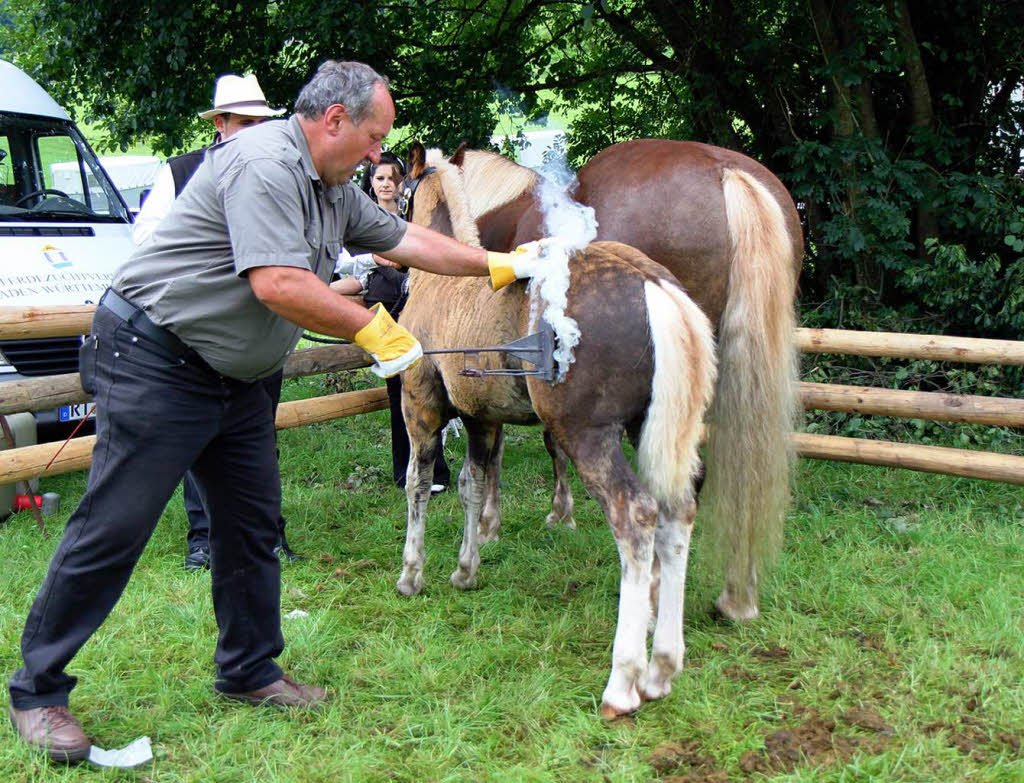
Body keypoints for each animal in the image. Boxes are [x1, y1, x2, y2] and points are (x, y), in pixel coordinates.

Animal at [395, 145, 716, 716]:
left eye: (398, 188)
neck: (443, 285)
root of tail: (654, 284)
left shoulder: (422, 402)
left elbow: (420, 484)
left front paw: (413, 574)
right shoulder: (481, 417)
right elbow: (473, 485)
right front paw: (466, 569)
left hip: (588, 435)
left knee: (635, 517)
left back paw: (624, 681)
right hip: (651, 433)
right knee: (677, 515)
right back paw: (661, 667)